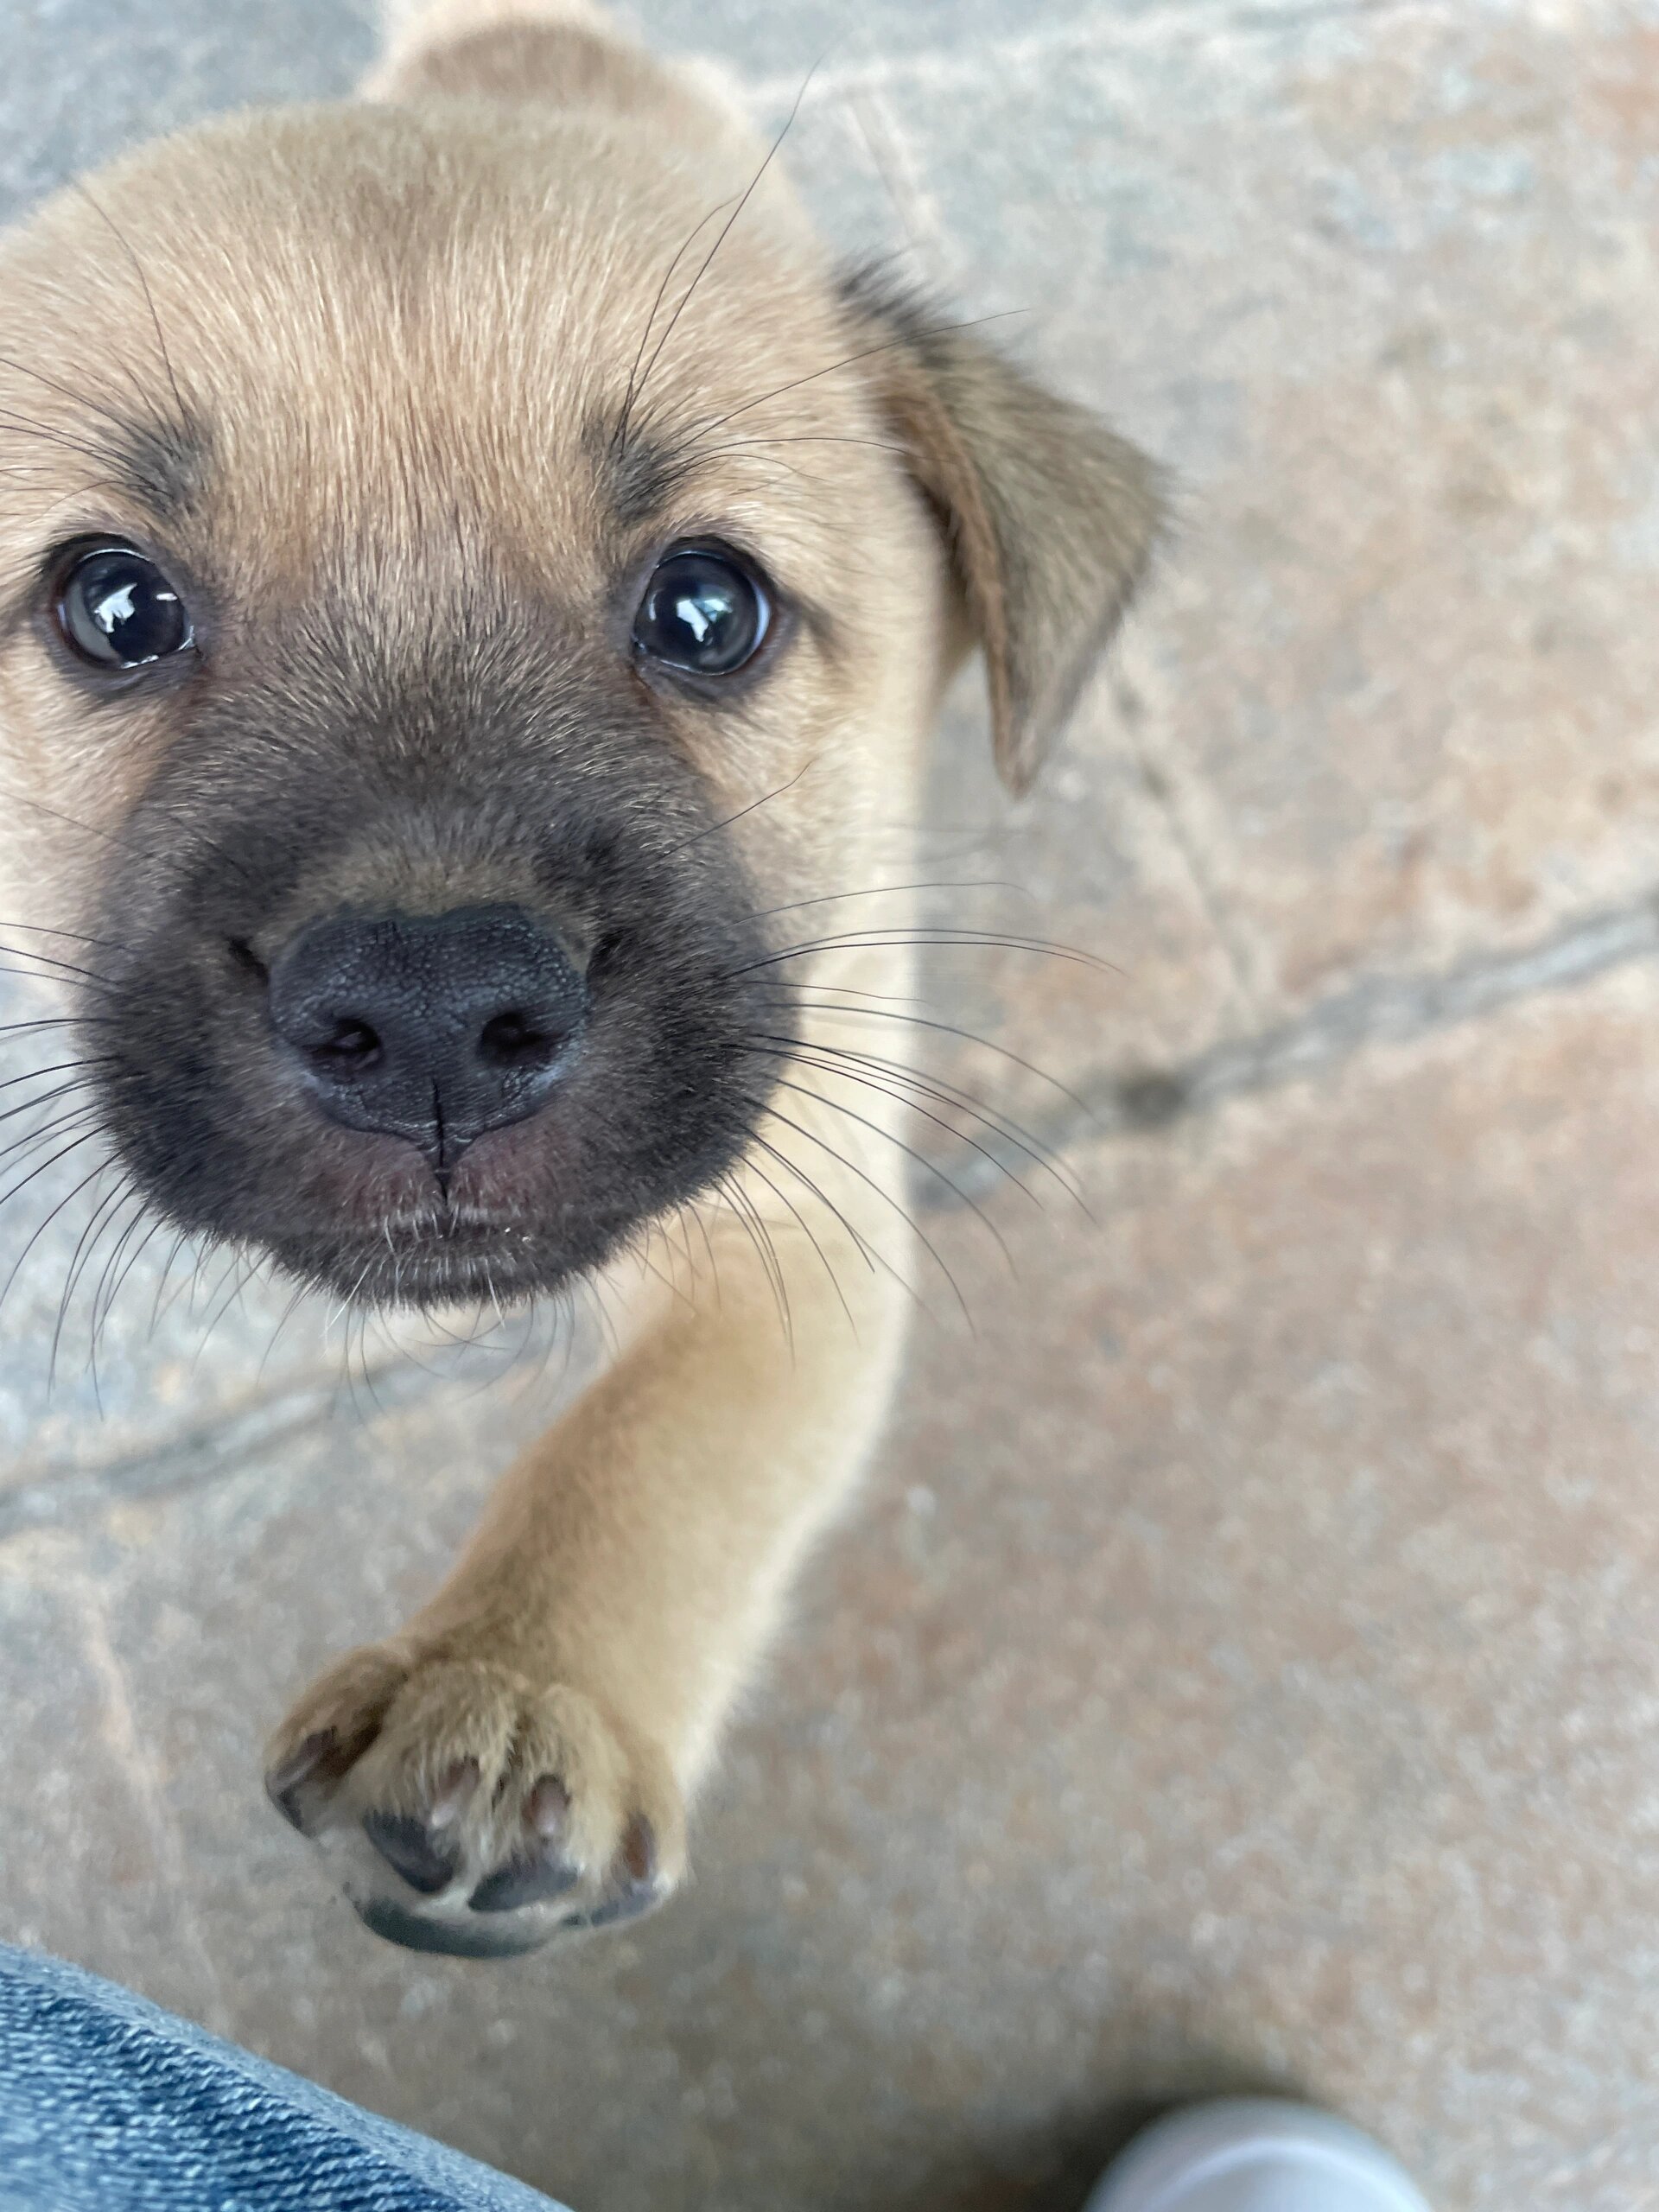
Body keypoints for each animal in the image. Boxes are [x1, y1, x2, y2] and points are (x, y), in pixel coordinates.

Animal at [0, 0, 1159, 1955]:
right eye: (113, 606)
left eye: (708, 609)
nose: (432, 1019)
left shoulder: (792, 1214)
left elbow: (653, 1453)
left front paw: (519, 1694)